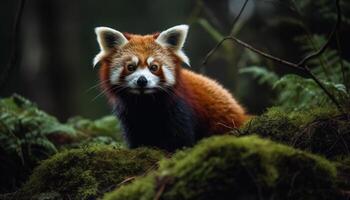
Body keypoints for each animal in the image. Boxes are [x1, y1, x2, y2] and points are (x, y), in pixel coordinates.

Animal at [94, 24, 247, 151]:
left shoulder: (179, 108)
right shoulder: (129, 114)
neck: (145, 102)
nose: (142, 80)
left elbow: (181, 139)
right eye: (130, 67)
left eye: (154, 67)